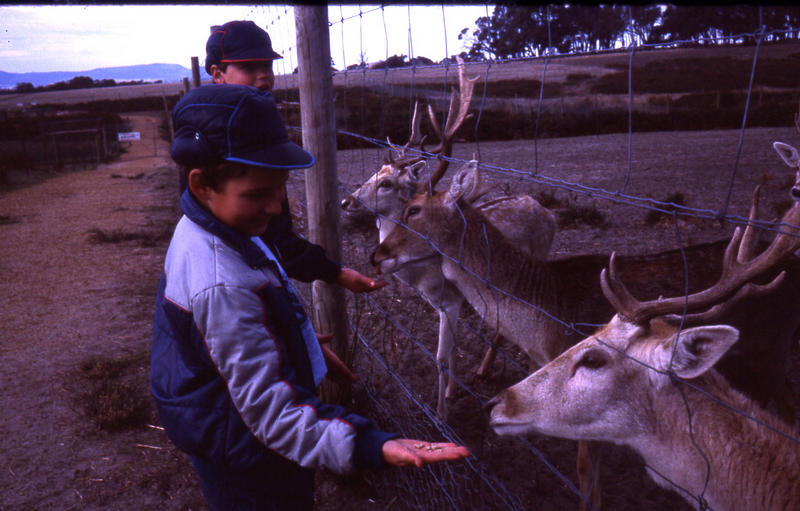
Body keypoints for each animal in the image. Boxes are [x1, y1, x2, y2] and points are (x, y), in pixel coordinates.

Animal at [342, 58, 556, 422]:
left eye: (386, 184)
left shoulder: (451, 298)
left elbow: (441, 357)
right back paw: (483, 371)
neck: (421, 274)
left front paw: (441, 412)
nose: (346, 201)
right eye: (374, 175)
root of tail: (548, 213)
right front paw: (450, 394)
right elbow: (452, 353)